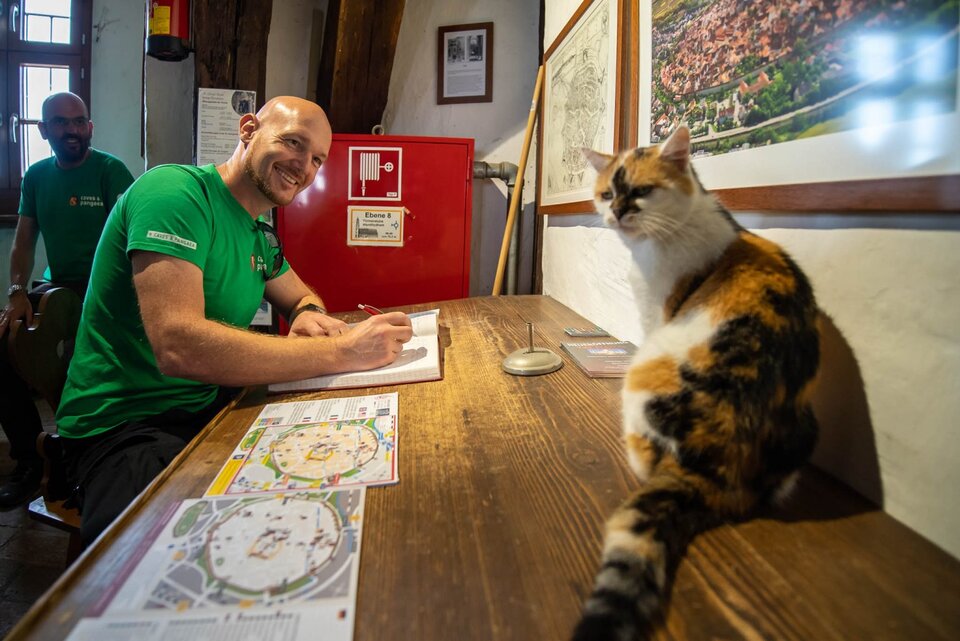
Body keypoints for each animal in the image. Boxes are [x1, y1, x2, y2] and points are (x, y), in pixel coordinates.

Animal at [572, 127, 820, 636]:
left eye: (641, 191)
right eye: (606, 193)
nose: (617, 211)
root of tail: (720, 466)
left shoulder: (657, 312)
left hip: (645, 369)